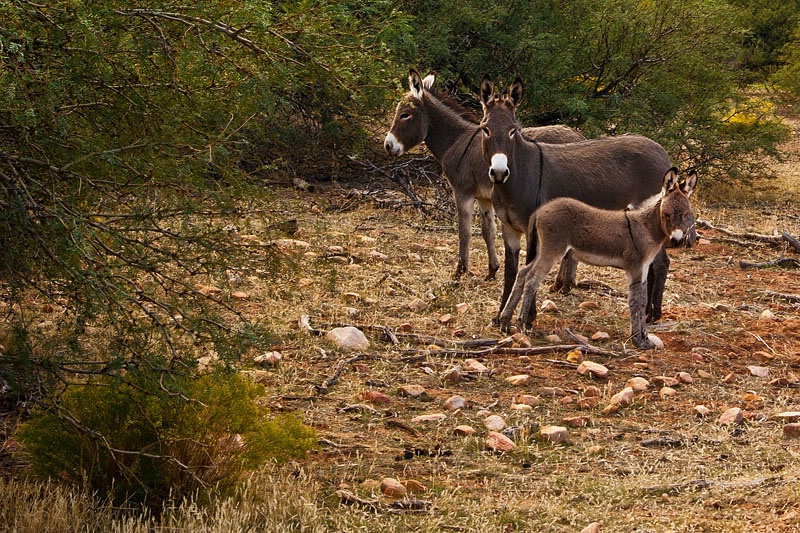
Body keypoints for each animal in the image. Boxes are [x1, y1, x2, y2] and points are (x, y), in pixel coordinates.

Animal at [500, 167, 692, 350]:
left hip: (542, 250)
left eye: (686, 214)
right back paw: (522, 324)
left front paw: (645, 339)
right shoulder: (635, 267)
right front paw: (638, 340)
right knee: (532, 279)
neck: (645, 227)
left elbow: (643, 300)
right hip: (552, 251)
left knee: (523, 274)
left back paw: (505, 321)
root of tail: (539, 211)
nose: (676, 240)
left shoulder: (644, 268)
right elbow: (636, 301)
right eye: (666, 214)